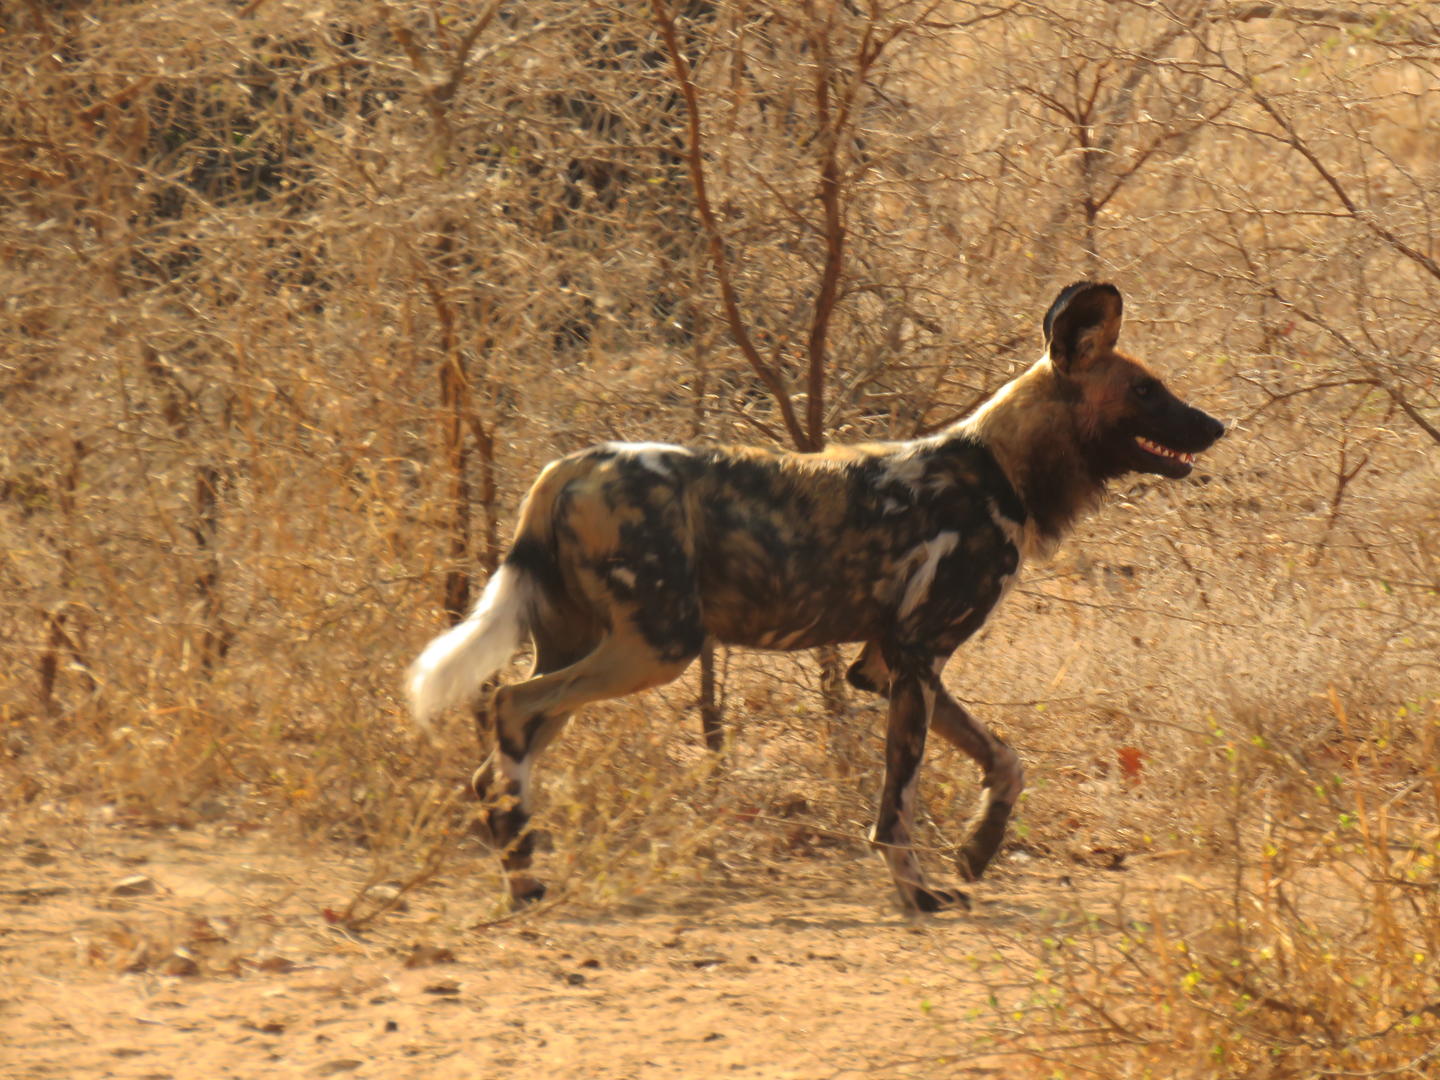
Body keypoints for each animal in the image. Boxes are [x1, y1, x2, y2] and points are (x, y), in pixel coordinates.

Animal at [408, 280, 1226, 915]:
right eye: (1147, 391)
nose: (1219, 424)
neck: (1002, 469)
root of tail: (569, 467)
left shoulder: (888, 666)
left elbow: (1007, 761)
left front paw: (977, 850)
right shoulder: (917, 661)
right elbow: (897, 809)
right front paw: (919, 895)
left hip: (588, 648)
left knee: (496, 755)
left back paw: (521, 874)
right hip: (658, 648)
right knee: (510, 704)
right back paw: (521, 875)